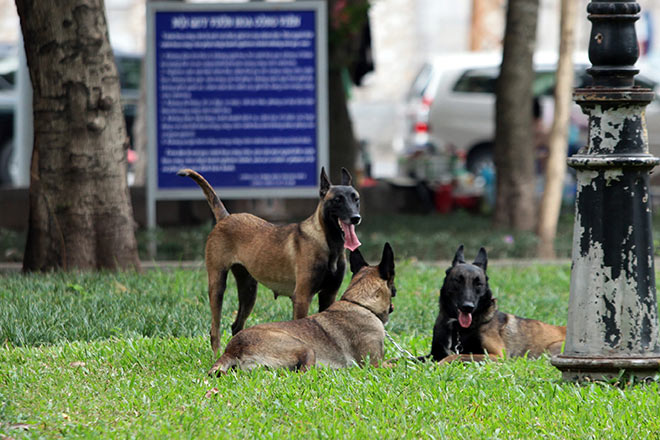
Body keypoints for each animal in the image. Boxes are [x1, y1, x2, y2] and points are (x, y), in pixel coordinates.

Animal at [177, 167, 360, 356]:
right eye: (337, 200)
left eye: (356, 199)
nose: (356, 218)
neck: (327, 242)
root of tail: (226, 217)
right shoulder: (302, 297)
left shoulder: (328, 295)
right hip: (217, 285)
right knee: (215, 330)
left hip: (249, 291)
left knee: (236, 325)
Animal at [209, 241, 398, 374]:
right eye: (394, 288)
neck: (360, 304)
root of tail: (232, 349)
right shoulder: (375, 364)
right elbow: (396, 362)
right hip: (305, 348)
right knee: (304, 372)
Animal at [422, 246, 568, 362]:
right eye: (458, 280)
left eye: (478, 284)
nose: (468, 307)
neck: (457, 327)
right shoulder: (434, 354)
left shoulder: (496, 355)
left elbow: (455, 355)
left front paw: (439, 365)